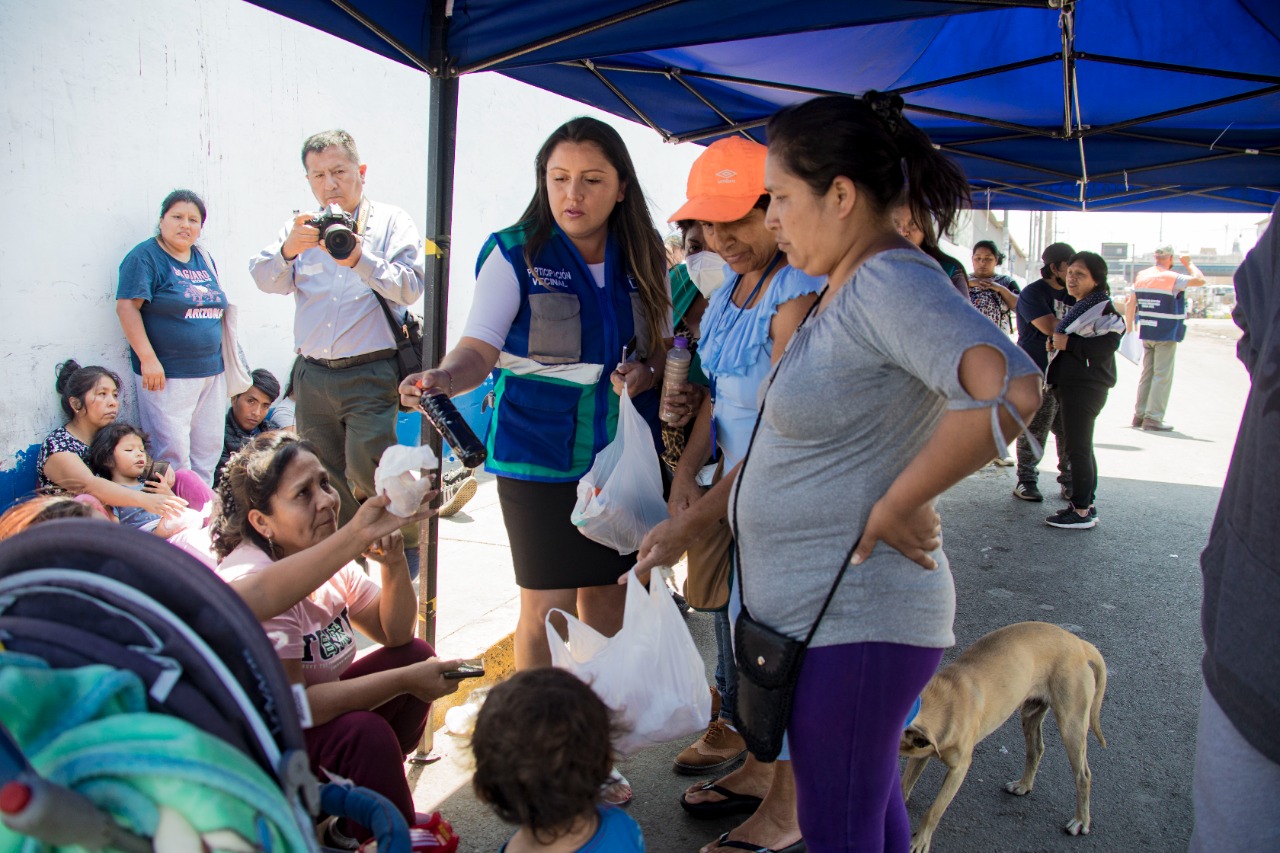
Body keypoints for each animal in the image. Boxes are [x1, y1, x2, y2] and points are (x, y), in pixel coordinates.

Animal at [896, 617, 1105, 850]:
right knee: (1036, 750)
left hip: (1072, 725)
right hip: (1031, 713)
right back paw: (1024, 785)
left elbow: (934, 811)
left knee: (1083, 774)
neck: (942, 702)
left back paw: (1081, 820)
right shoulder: (922, 753)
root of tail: (1079, 644)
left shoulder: (959, 769)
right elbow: (905, 785)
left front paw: (920, 841)